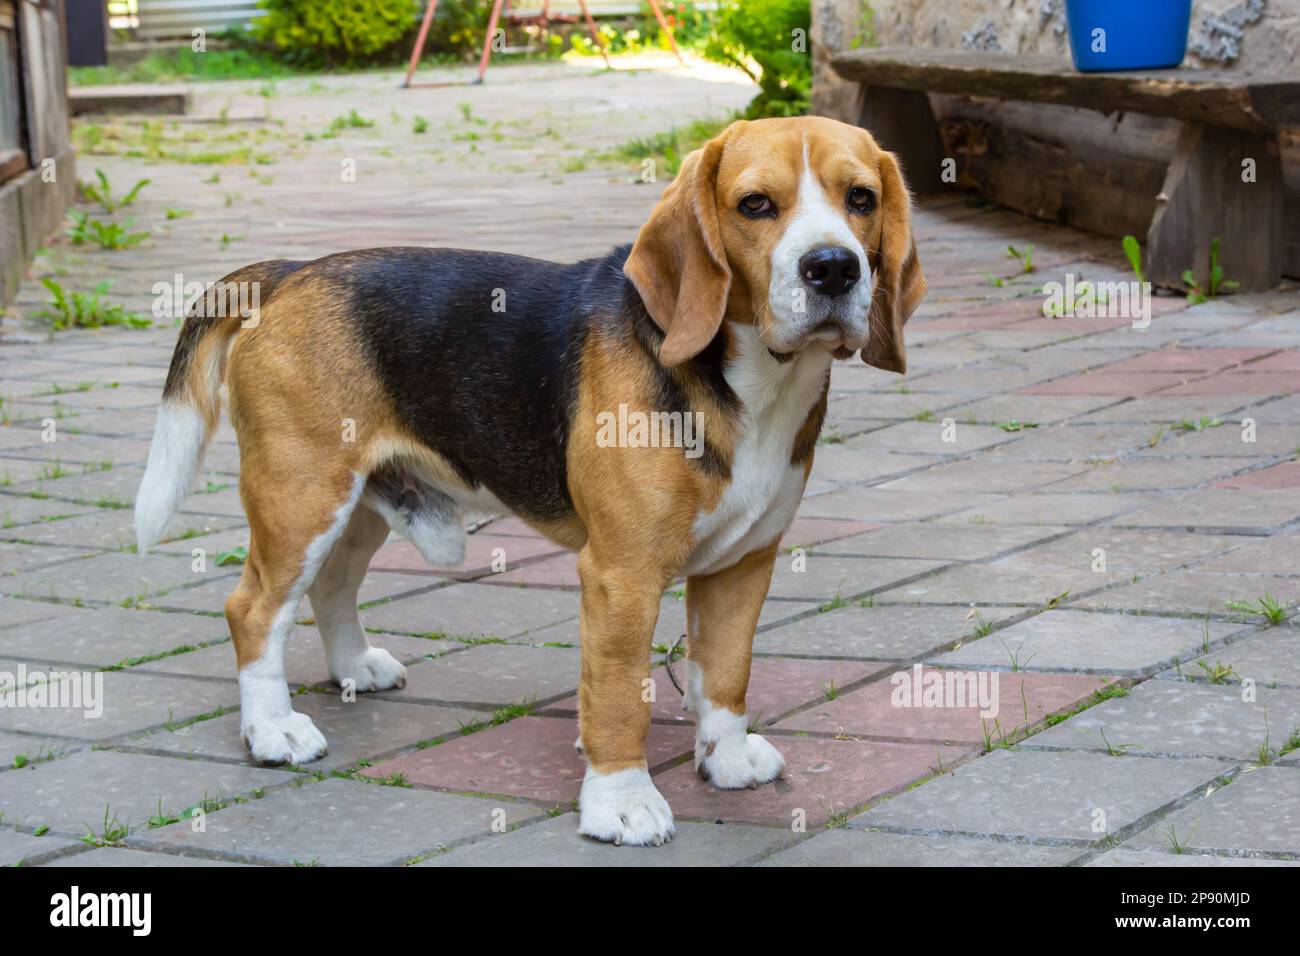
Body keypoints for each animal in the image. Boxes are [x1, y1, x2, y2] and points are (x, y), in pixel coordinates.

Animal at [134, 115, 925, 848]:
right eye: (756, 205)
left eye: (861, 198)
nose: (833, 268)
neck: (752, 383)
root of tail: (292, 271)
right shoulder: (620, 576)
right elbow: (618, 696)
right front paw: (621, 801)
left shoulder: (744, 564)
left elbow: (726, 674)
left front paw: (724, 758)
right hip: (300, 499)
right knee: (252, 610)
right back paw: (273, 731)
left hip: (362, 501)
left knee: (331, 586)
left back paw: (354, 667)